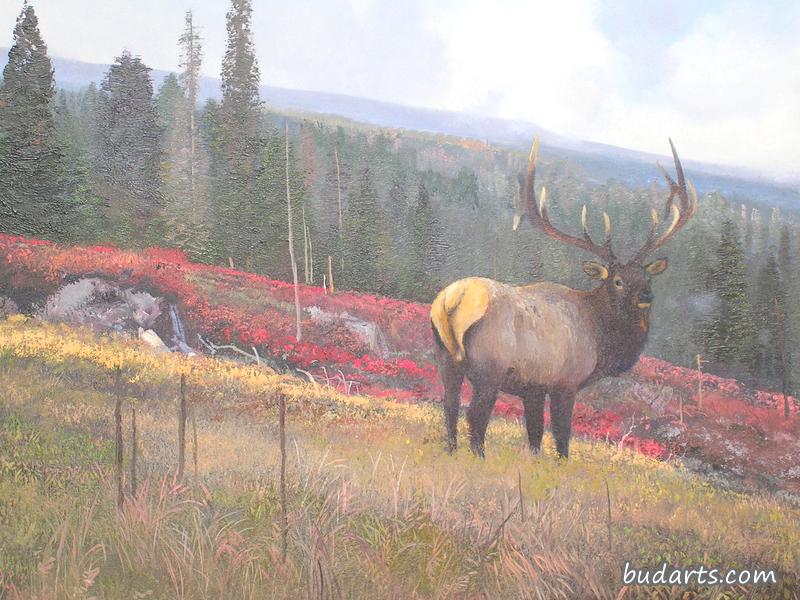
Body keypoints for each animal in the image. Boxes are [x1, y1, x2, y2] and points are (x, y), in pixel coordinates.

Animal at [430, 137, 697, 458]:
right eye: (618, 281)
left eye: (647, 277)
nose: (646, 295)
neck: (601, 339)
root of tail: (452, 301)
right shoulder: (565, 382)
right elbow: (561, 437)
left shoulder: (533, 387)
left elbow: (534, 436)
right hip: (489, 367)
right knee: (475, 415)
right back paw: (479, 458)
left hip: (446, 359)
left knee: (449, 406)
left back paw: (451, 451)